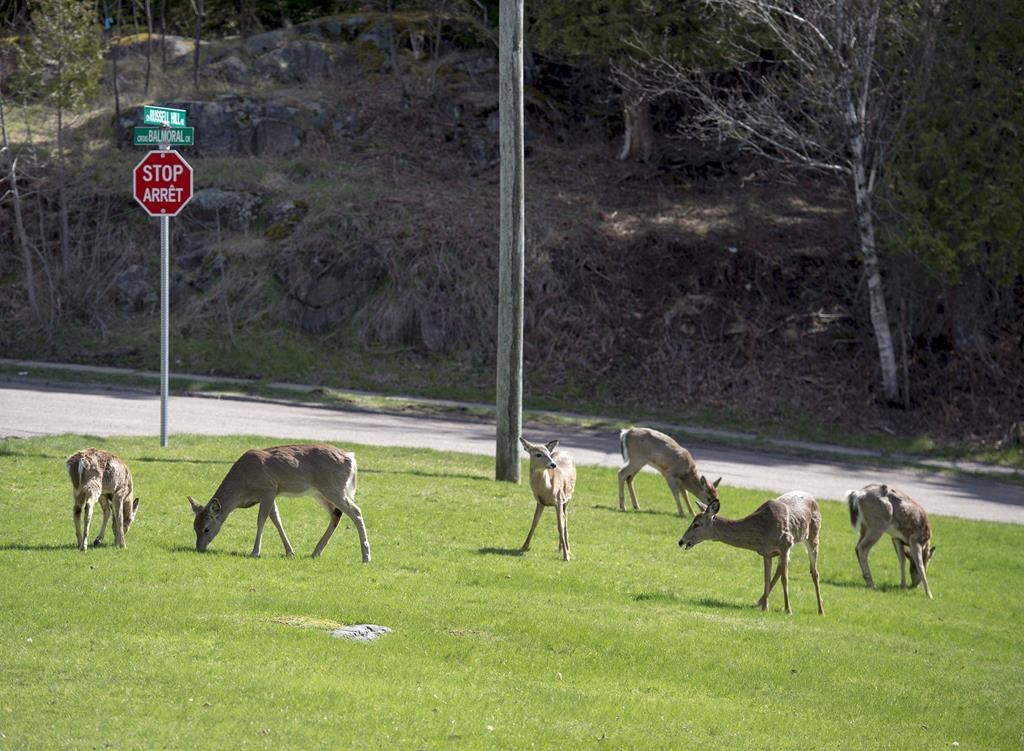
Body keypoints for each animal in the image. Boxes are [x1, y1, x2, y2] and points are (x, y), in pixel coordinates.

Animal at [188, 442, 372, 561]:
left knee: (355, 511)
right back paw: (315, 552)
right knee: (336, 514)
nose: (199, 548)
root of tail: (351, 458)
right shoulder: (271, 493)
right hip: (320, 492)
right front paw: (290, 552)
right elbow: (277, 520)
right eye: (194, 527)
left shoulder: (268, 488)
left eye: (206, 528)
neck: (243, 485)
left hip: (333, 487)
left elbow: (261, 520)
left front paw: (255, 552)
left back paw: (365, 556)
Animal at [675, 489, 827, 610]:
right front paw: (765, 608)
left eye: (696, 524)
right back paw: (759, 602)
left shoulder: (785, 543)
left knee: (814, 572)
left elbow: (785, 579)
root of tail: (814, 499)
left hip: (813, 535)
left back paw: (821, 610)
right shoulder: (767, 552)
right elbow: (766, 578)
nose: (681, 541)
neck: (763, 530)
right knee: (780, 569)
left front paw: (788, 610)